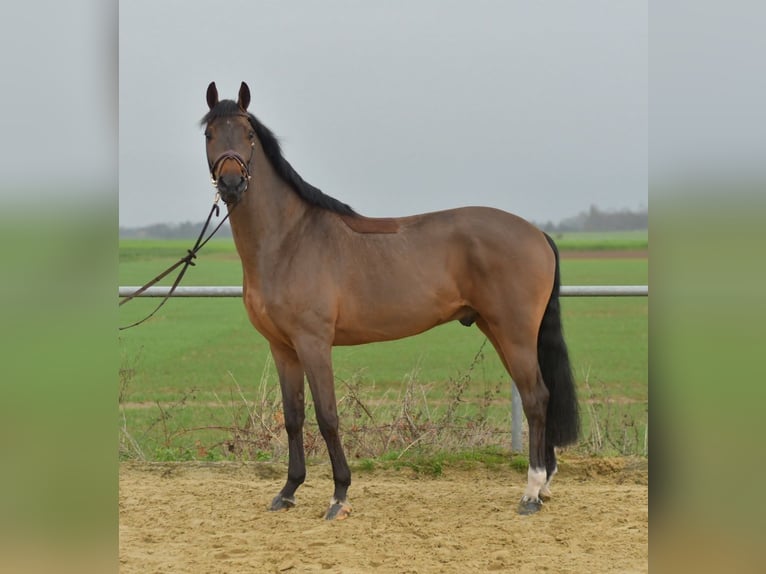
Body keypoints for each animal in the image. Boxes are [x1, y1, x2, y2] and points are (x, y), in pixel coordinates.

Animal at [201, 81, 579, 519]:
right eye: (209, 134)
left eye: (248, 135)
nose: (231, 183)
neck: (288, 240)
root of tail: (537, 234)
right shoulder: (283, 348)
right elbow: (293, 417)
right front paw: (289, 490)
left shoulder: (314, 343)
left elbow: (327, 416)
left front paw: (339, 495)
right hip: (499, 330)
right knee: (540, 396)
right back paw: (544, 485)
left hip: (514, 333)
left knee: (536, 398)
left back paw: (532, 492)